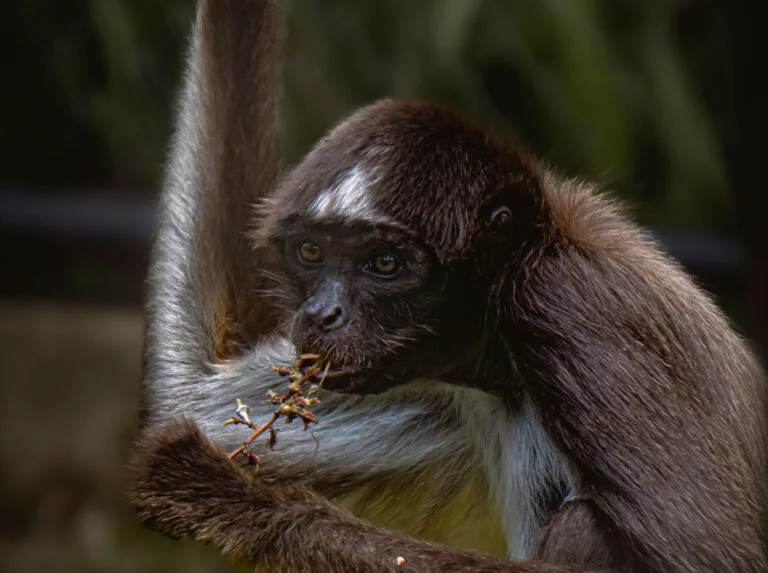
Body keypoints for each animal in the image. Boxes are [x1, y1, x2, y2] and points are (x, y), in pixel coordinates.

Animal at [130, 1, 768, 572]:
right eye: (311, 253)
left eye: (386, 264)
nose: (321, 314)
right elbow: (187, 399)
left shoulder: (568, 307)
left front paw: (230, 498)